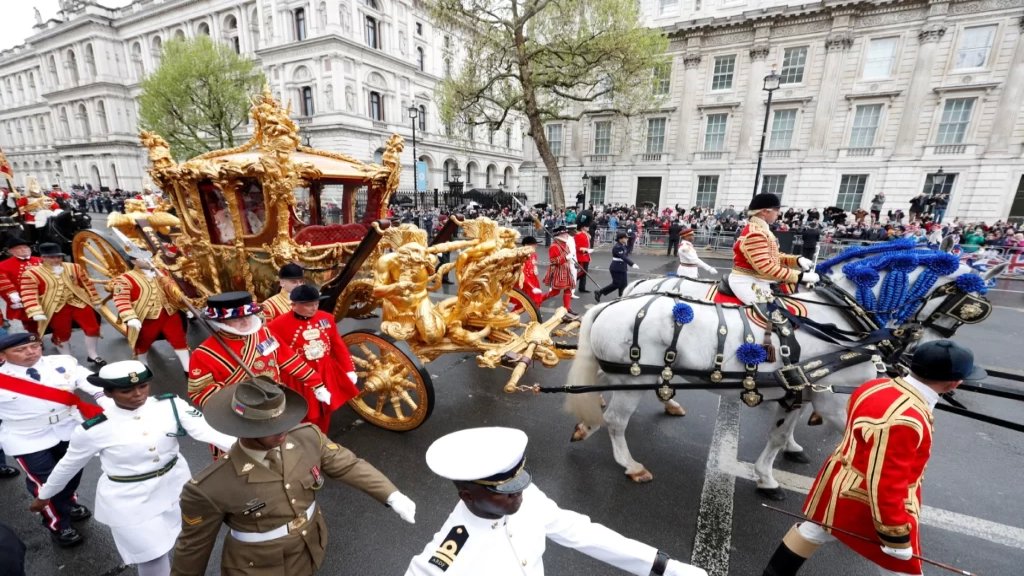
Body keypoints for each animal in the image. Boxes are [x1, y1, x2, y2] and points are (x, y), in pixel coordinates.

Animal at [565, 239, 995, 496]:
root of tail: (614, 303)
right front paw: (771, 476)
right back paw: (630, 463)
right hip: (631, 380)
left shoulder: (800, 391)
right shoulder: (829, 399)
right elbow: (825, 433)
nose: (922, 353)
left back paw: (593, 423)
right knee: (617, 421)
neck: (834, 316)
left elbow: (782, 432)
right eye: (962, 305)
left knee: (600, 394)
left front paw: (781, 459)